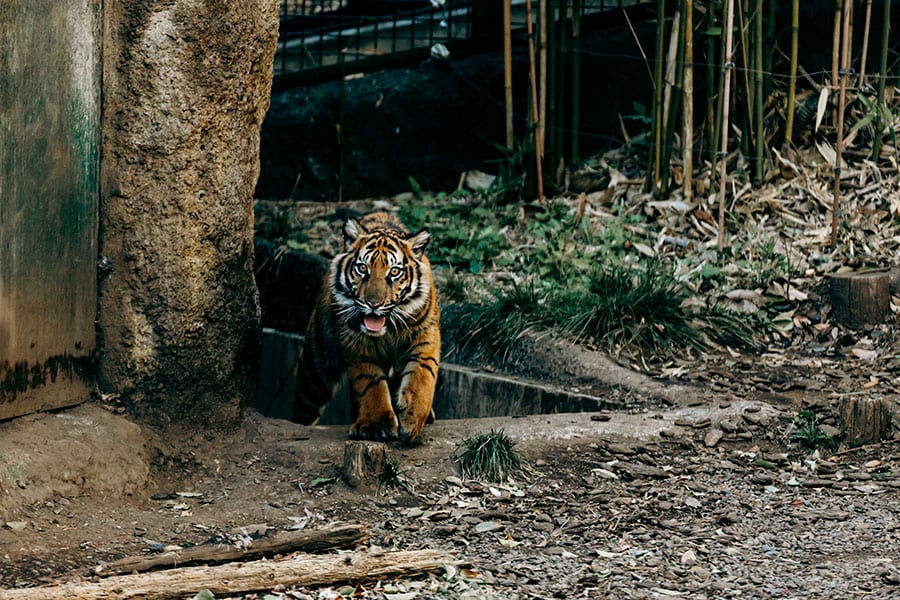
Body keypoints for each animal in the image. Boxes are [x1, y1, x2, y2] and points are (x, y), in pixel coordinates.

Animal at [292, 213, 440, 442]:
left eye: (394, 272)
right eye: (363, 268)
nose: (373, 304)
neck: (387, 331)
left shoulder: (425, 335)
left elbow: (422, 376)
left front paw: (412, 418)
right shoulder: (356, 345)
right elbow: (372, 385)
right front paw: (376, 425)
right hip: (316, 366)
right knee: (304, 403)